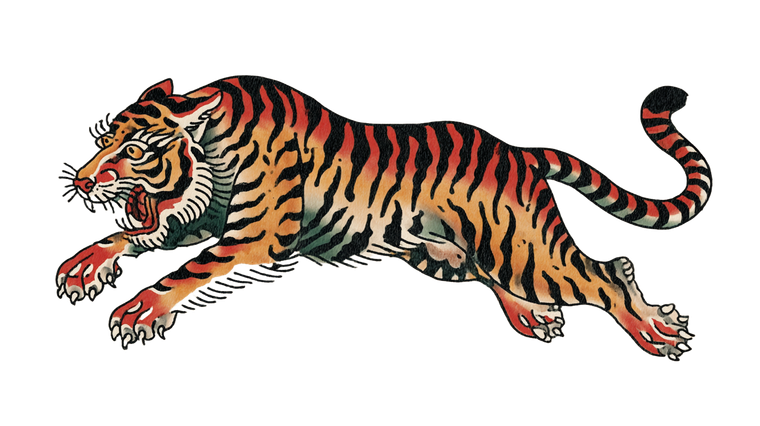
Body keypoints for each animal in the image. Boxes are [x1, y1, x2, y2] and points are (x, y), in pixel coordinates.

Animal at [54, 75, 711, 362]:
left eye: (134, 150)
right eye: (103, 140)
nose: (81, 181)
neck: (211, 149)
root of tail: (518, 151)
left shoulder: (253, 238)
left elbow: (184, 271)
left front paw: (137, 312)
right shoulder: (203, 220)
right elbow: (133, 235)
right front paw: (84, 266)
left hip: (527, 248)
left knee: (607, 273)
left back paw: (656, 334)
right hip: (448, 253)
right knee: (497, 277)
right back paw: (532, 318)